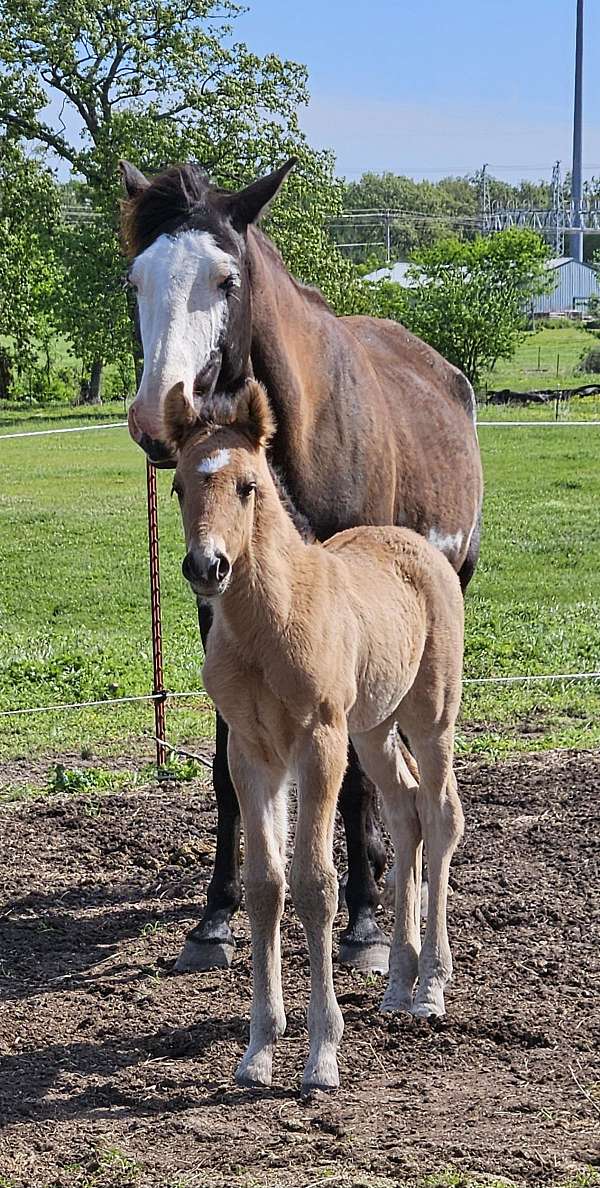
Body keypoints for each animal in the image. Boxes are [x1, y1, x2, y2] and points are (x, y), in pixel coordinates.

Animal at [119, 157, 483, 977]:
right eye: (135, 279)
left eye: (225, 277)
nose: (156, 415)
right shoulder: (218, 614)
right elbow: (227, 766)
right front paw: (216, 915)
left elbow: (348, 782)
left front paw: (365, 921)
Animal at [164, 378, 465, 1092]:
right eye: (180, 486)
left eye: (248, 485)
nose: (207, 566)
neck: (268, 622)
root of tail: (423, 548)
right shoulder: (252, 754)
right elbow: (266, 884)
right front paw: (258, 1051)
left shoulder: (319, 744)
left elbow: (314, 883)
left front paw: (322, 1052)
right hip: (375, 728)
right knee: (405, 808)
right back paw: (399, 984)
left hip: (428, 716)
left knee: (441, 813)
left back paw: (431, 988)